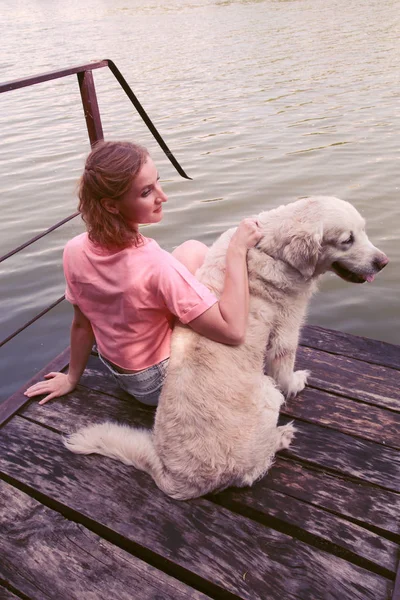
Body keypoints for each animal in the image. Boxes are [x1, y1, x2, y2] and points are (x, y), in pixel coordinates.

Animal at [65, 198, 388, 502]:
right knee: (252, 472)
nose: (383, 262)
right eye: (347, 240)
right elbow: (286, 367)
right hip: (267, 396)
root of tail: (175, 478)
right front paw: (297, 382)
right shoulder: (287, 329)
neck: (271, 248)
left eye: (363, 231)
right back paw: (281, 437)